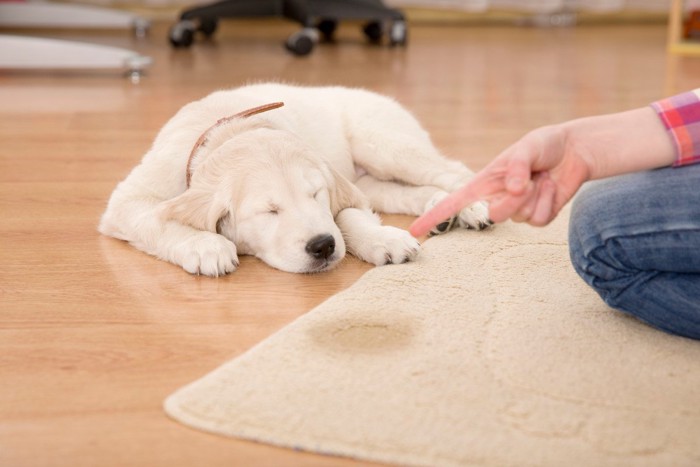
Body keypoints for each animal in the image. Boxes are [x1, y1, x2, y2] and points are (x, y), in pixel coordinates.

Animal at [98, 82, 490, 276]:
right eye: (270, 212)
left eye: (315, 195)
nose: (323, 246)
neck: (229, 130)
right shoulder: (128, 201)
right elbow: (157, 220)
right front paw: (205, 246)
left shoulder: (338, 188)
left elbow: (347, 217)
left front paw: (382, 239)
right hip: (370, 176)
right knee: (401, 191)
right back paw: (440, 209)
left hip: (384, 144)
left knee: (454, 170)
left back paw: (471, 208)